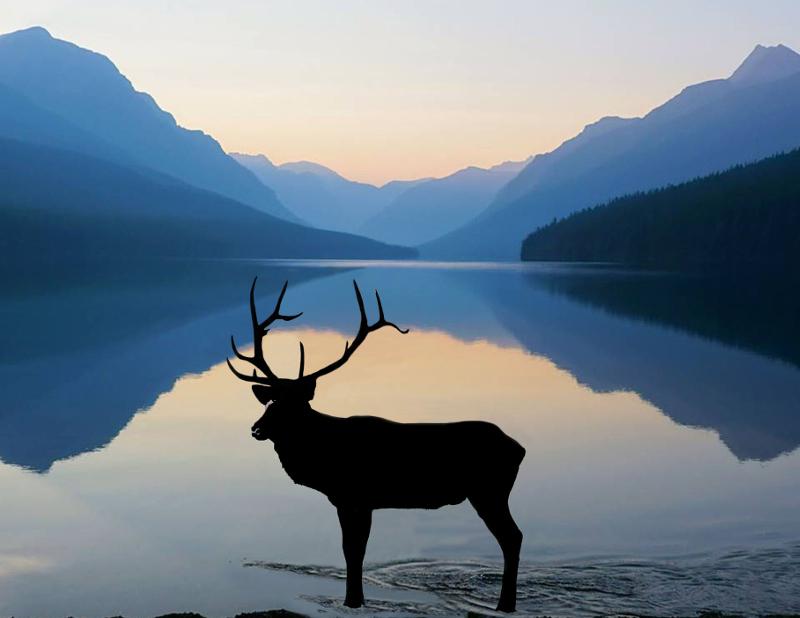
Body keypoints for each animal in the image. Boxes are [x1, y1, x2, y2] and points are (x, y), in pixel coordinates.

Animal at [227, 278, 526, 612]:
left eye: (294, 405)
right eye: (271, 401)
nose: (256, 428)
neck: (323, 460)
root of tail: (519, 448)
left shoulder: (357, 495)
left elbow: (353, 551)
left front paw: (353, 601)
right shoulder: (350, 499)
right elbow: (352, 550)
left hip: (489, 491)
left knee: (513, 538)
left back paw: (505, 605)